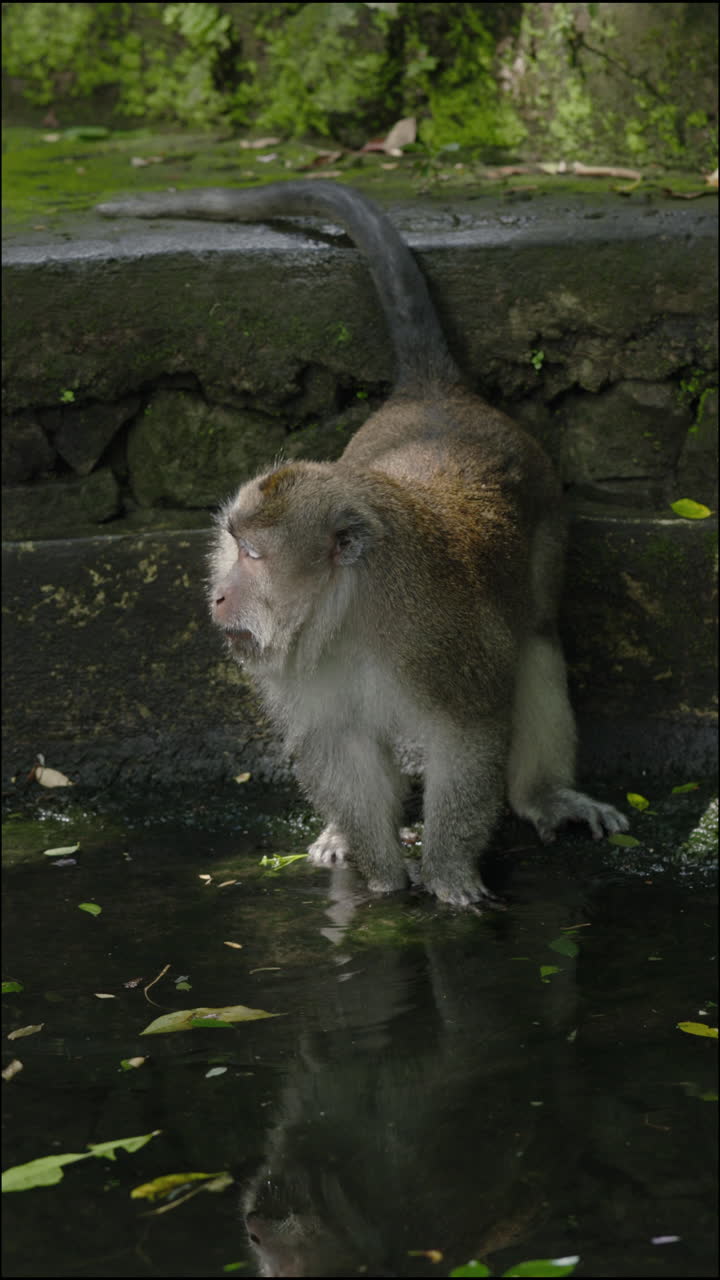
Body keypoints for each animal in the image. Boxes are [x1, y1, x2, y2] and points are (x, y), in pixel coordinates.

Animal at [96, 181, 628, 906]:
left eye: (255, 556)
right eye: (232, 544)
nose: (220, 596)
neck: (349, 612)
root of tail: (435, 398)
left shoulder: (441, 641)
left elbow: (468, 737)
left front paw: (449, 878)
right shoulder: (300, 666)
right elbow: (334, 746)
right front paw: (381, 879)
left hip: (547, 519)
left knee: (538, 639)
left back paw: (543, 795)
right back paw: (341, 835)